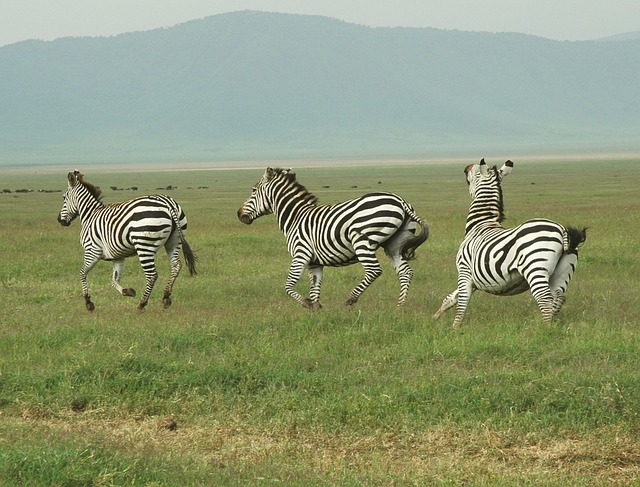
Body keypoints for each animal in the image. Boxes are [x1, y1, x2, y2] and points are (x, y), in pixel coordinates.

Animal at [57, 170, 198, 310]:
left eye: (64, 197)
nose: (59, 220)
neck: (90, 215)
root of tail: (167, 203)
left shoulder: (92, 251)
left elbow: (82, 273)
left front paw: (88, 302)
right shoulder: (118, 256)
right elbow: (114, 280)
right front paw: (128, 291)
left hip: (144, 246)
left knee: (152, 275)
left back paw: (142, 304)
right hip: (174, 241)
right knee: (176, 266)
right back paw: (166, 296)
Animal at [238, 169, 428, 308]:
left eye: (253, 190)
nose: (239, 214)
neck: (295, 217)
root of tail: (400, 200)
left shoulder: (301, 254)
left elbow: (288, 286)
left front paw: (307, 304)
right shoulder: (314, 263)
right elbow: (315, 289)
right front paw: (316, 312)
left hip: (362, 240)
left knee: (374, 270)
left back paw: (351, 299)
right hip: (395, 244)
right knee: (405, 272)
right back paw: (400, 306)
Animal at [432, 160, 588, 328]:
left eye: (476, 172)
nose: (466, 168)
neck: (480, 224)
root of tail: (561, 230)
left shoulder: (464, 270)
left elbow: (462, 302)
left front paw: (455, 328)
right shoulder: (474, 279)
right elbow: (450, 299)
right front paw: (434, 319)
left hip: (535, 267)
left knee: (545, 298)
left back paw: (546, 328)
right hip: (562, 272)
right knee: (559, 297)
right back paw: (550, 324)